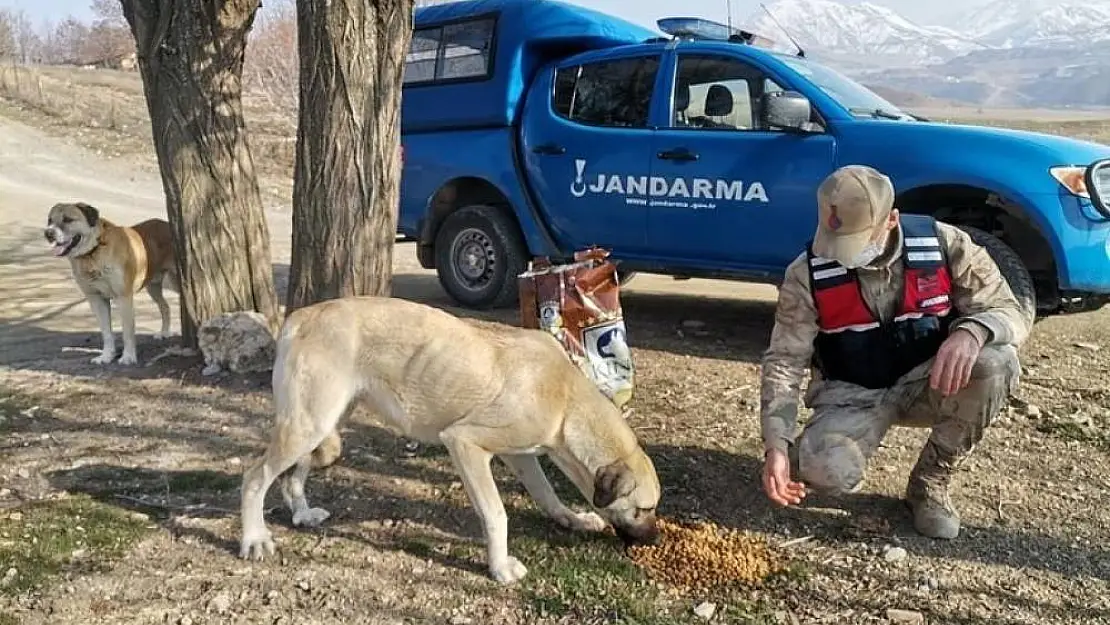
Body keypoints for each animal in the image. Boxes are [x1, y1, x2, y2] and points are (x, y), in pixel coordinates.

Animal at [43, 200, 177, 366]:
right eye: (49, 220)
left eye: (68, 219)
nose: (48, 233)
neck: (94, 251)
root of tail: (167, 225)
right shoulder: (96, 299)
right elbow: (106, 332)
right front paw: (106, 356)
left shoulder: (124, 297)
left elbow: (127, 331)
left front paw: (128, 357)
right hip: (153, 286)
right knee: (165, 307)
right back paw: (164, 332)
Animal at [239, 295, 661, 586]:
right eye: (642, 510)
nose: (654, 542)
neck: (567, 400)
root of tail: (299, 316)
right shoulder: (465, 444)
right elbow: (496, 514)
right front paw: (500, 567)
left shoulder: (521, 456)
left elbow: (547, 494)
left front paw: (571, 519)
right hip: (308, 425)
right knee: (255, 477)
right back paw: (255, 538)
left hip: (322, 423)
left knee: (292, 477)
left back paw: (301, 513)